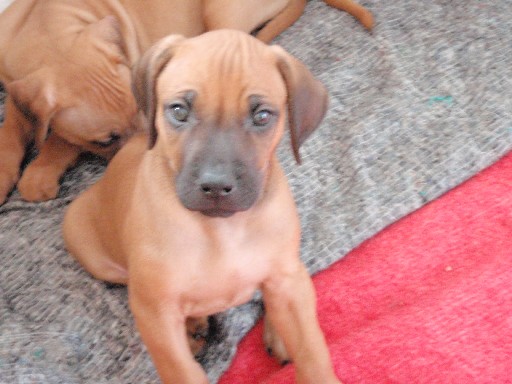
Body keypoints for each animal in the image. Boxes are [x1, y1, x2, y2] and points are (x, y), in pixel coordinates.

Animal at [65, 30, 344, 384]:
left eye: (262, 116)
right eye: (179, 111)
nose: (216, 186)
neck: (221, 230)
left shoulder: (286, 278)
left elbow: (311, 349)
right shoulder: (155, 314)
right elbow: (181, 370)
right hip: (87, 243)